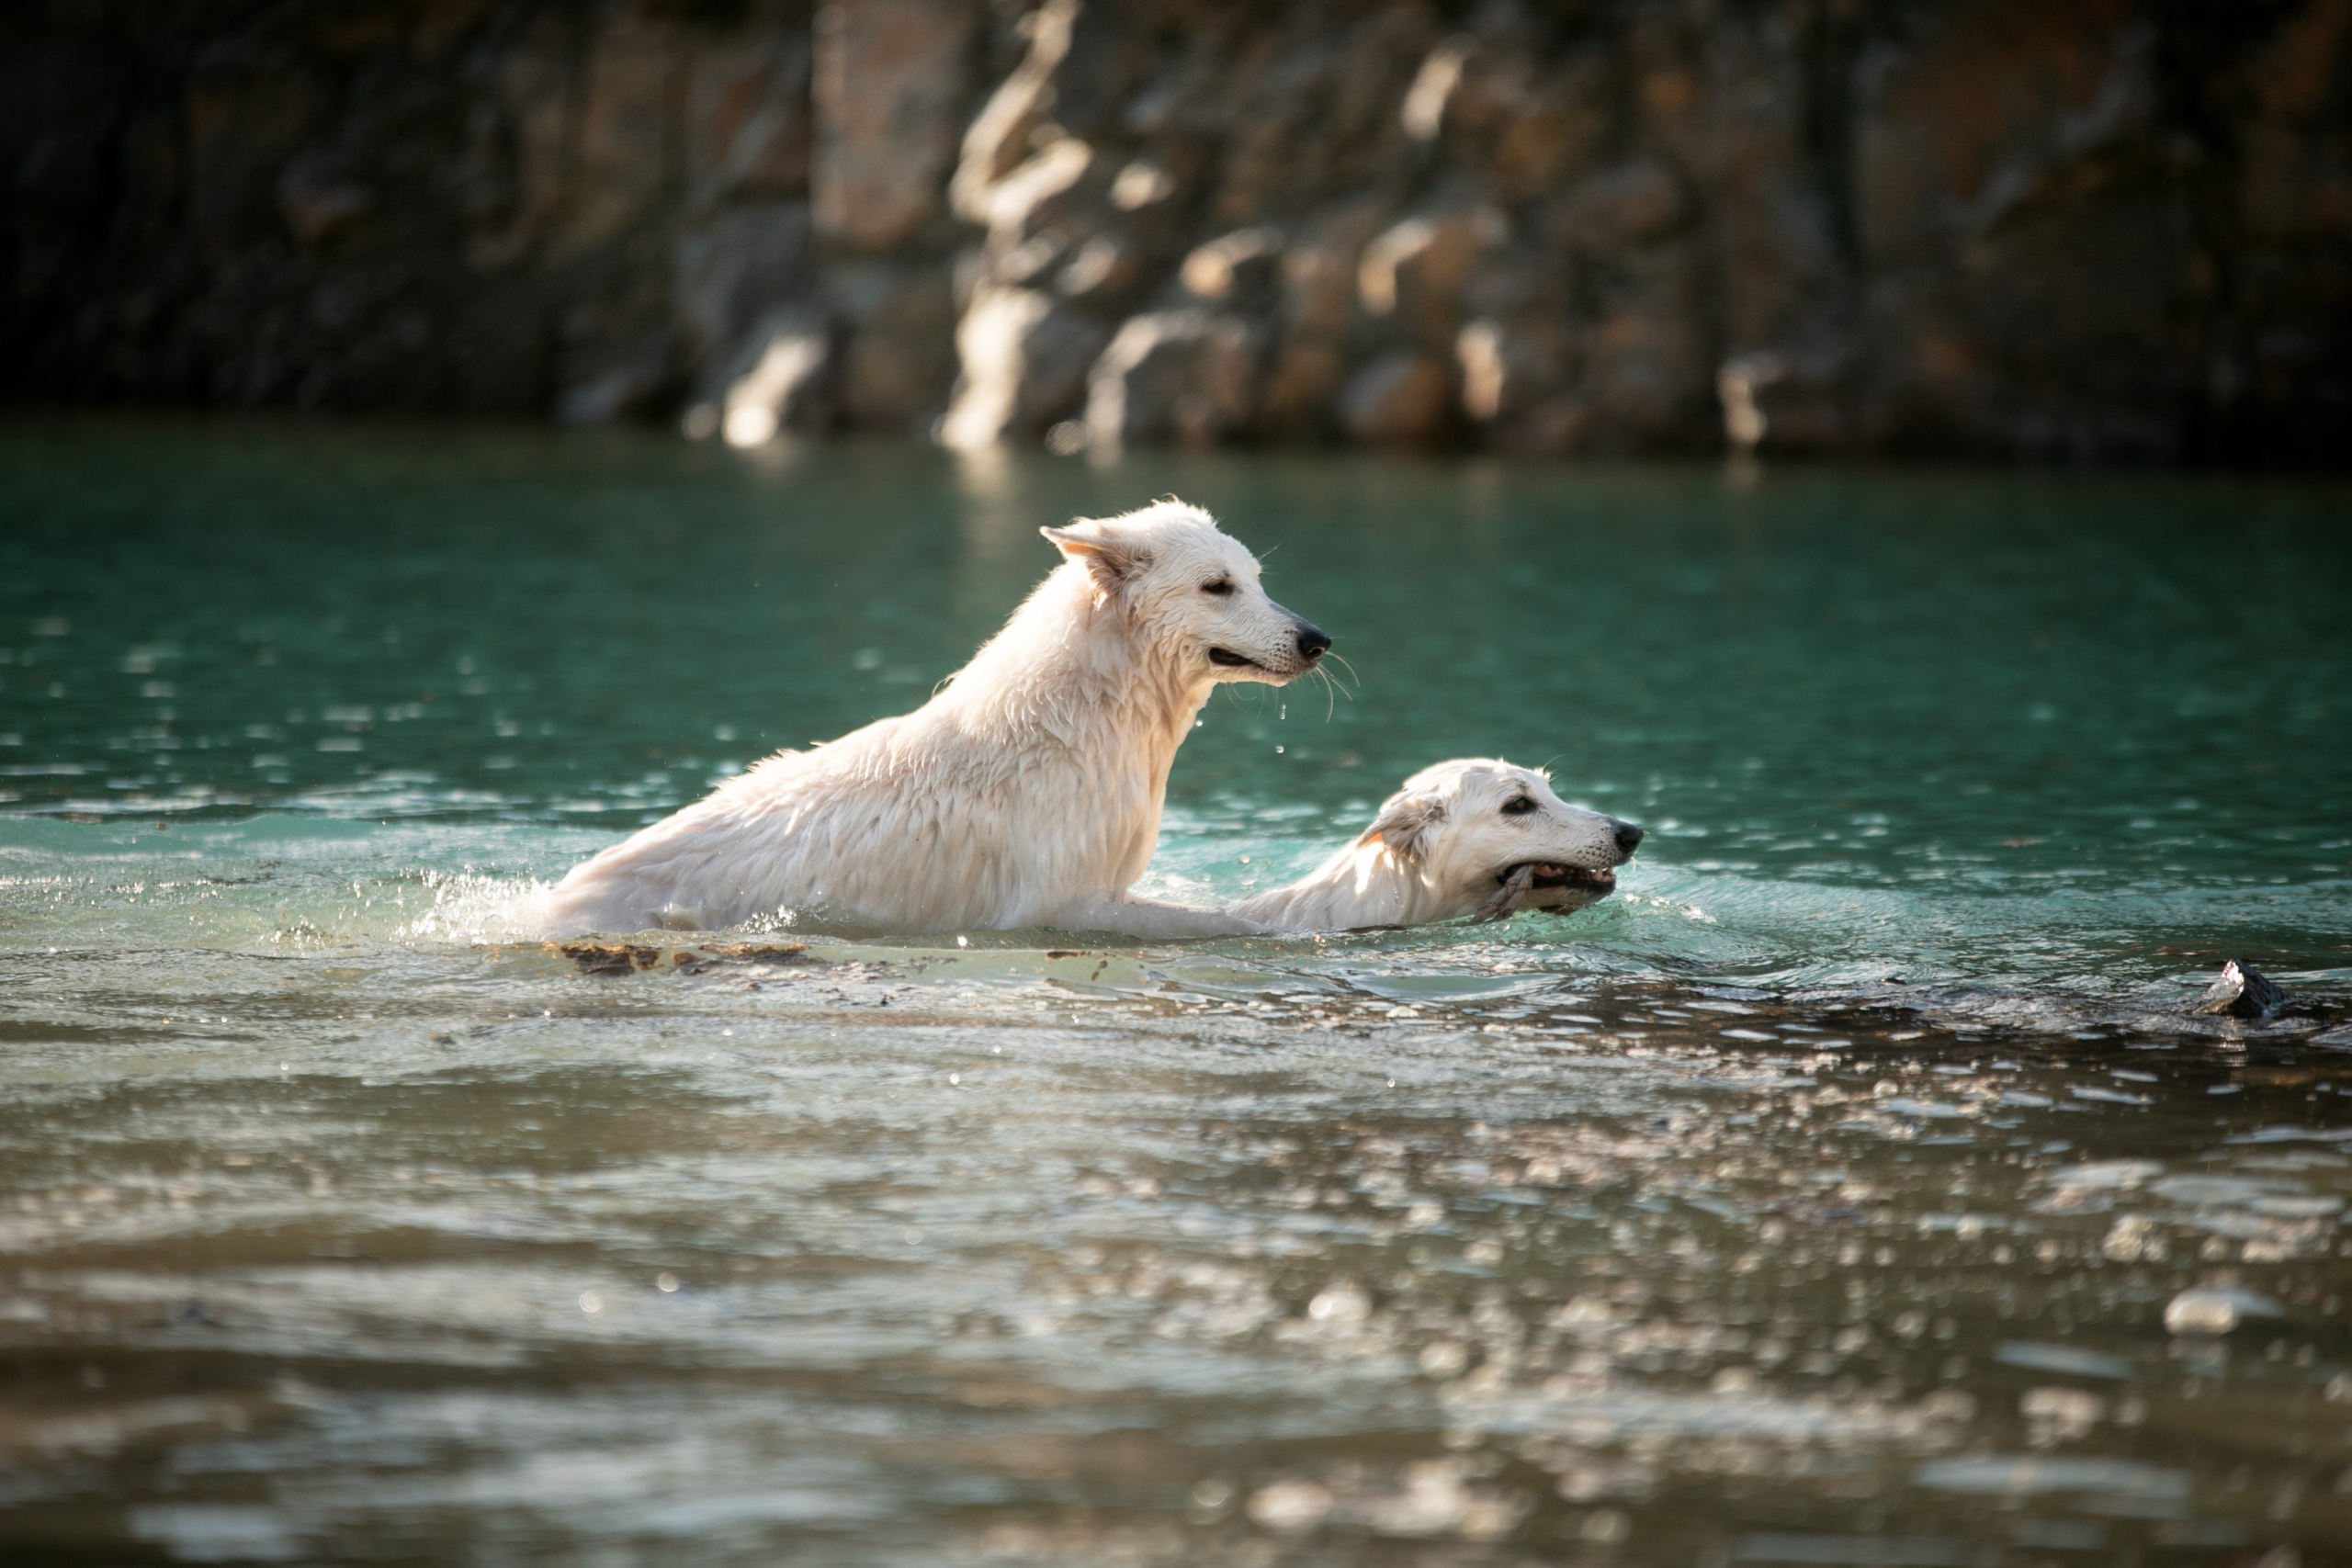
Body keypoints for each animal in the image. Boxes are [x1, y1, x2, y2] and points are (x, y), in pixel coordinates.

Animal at [538, 502, 1336, 940]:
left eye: (1255, 579)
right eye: (1217, 586)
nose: (1316, 639)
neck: (1084, 715)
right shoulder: (1057, 899)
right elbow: (1212, 919)